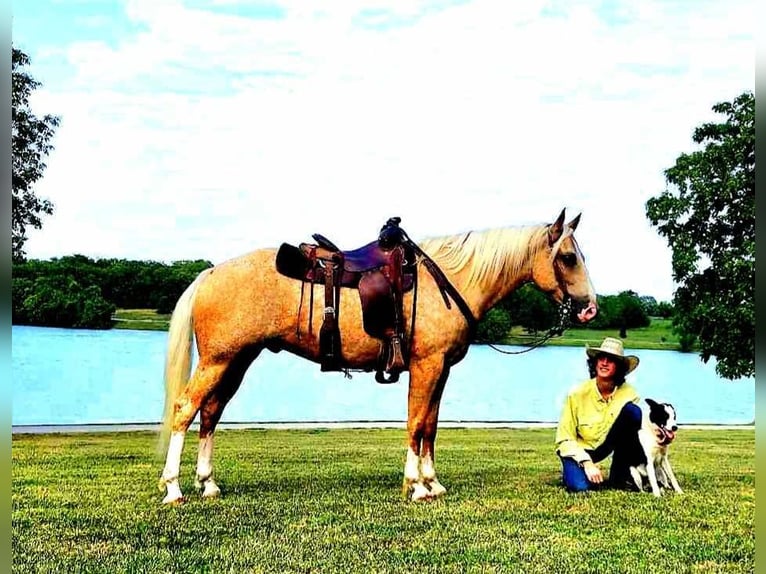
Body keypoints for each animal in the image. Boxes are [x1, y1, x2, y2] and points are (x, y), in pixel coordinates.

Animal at [156, 210, 600, 504]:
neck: (449, 283)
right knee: (185, 409)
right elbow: (416, 423)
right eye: (567, 258)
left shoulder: (440, 370)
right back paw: (173, 487)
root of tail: (210, 273)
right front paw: (416, 486)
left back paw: (208, 483)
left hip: (236, 361)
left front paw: (432, 481)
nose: (590, 308)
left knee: (210, 413)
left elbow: (430, 426)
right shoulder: (426, 366)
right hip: (218, 360)